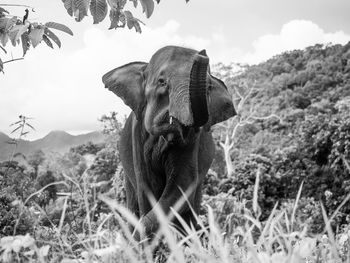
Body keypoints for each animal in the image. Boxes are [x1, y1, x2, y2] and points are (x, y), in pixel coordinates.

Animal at [102, 45, 237, 239]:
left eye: (209, 88)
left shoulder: (193, 140)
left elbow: (182, 183)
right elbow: (147, 186)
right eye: (162, 82)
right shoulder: (137, 134)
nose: (202, 53)